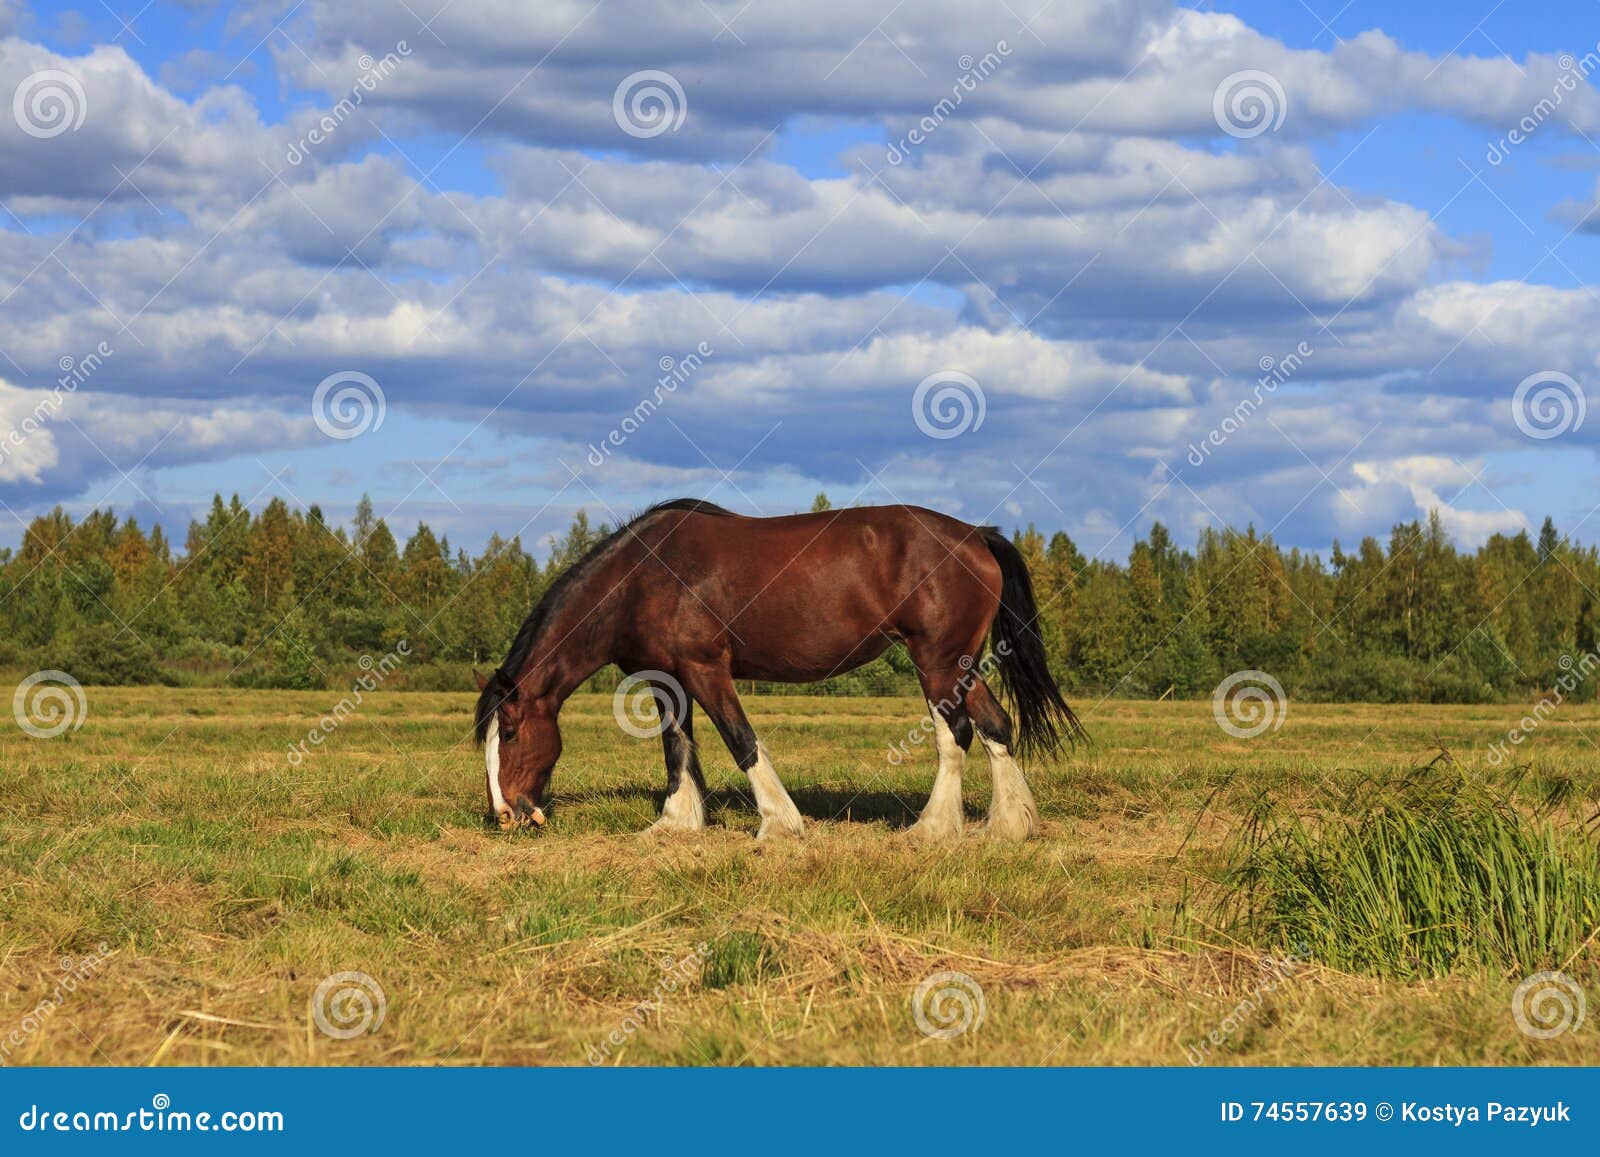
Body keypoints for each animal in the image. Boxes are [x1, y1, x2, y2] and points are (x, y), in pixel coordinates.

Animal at [467, 499, 1081, 844]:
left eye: (512, 732)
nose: (506, 814)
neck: (639, 578)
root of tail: (977, 535)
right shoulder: (667, 681)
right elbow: (677, 749)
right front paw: (677, 822)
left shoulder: (705, 670)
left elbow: (741, 742)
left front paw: (779, 824)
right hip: (957, 667)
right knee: (996, 727)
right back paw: (1008, 826)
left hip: (937, 664)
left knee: (956, 734)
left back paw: (933, 828)